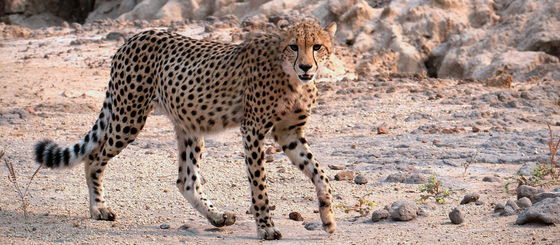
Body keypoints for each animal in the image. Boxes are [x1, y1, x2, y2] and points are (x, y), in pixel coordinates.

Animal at [34, 18, 336, 239]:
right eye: (294, 46)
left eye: (317, 46)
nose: (306, 66)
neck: (291, 76)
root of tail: (134, 37)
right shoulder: (253, 131)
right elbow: (259, 185)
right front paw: (266, 228)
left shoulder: (289, 134)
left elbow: (320, 174)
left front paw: (328, 218)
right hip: (128, 116)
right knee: (94, 157)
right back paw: (99, 208)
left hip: (189, 125)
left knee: (186, 180)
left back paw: (217, 216)